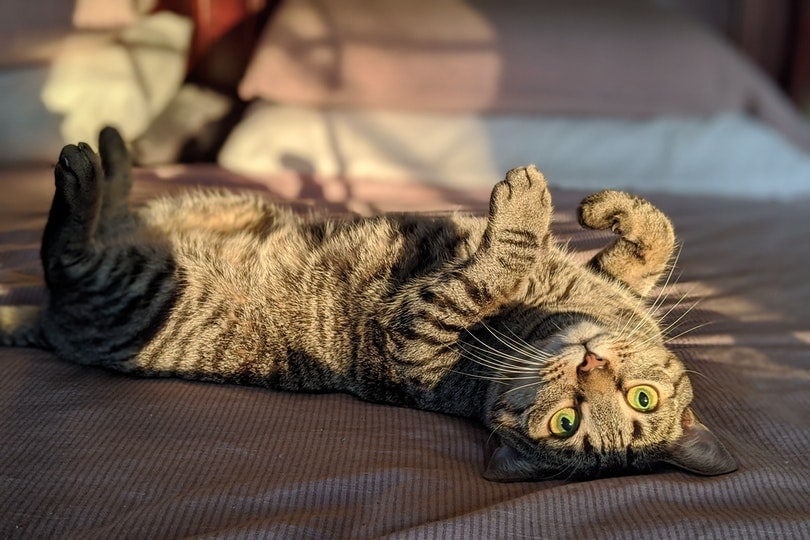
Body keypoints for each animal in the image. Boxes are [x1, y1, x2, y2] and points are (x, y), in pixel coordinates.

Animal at [0, 129, 732, 484]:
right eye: (643, 397)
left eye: (565, 426)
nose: (590, 367)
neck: (555, 316)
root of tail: (48, 328)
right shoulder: (611, 286)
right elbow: (655, 242)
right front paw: (605, 210)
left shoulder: (414, 338)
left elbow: (491, 267)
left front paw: (524, 211)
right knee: (111, 217)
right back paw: (116, 153)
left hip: (128, 283)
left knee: (65, 253)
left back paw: (86, 167)